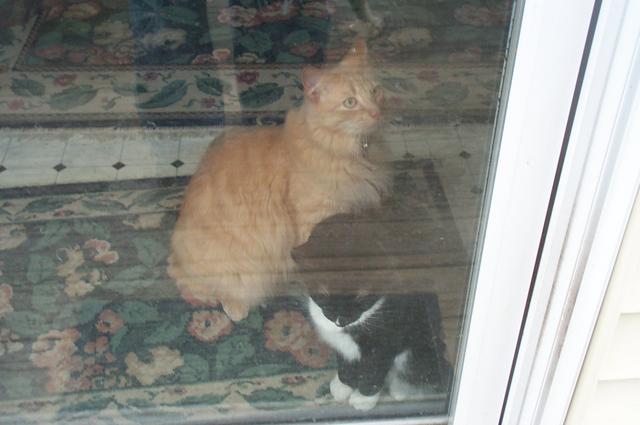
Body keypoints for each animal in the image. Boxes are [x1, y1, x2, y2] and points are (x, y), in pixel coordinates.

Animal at [307, 287, 452, 411]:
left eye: (361, 296)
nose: (340, 320)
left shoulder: (383, 344)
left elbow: (373, 371)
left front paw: (363, 399)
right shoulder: (342, 346)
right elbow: (345, 362)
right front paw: (343, 385)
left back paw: (400, 390)